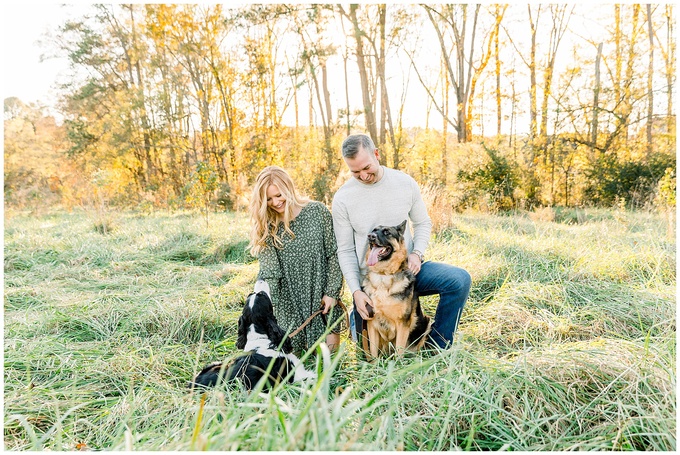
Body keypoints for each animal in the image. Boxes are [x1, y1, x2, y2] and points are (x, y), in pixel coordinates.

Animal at [362, 221, 430, 360]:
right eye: (374, 230)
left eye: (387, 232)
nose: (370, 236)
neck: (383, 275)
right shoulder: (371, 324)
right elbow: (373, 352)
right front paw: (373, 365)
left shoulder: (403, 324)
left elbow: (399, 352)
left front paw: (398, 364)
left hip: (426, 323)